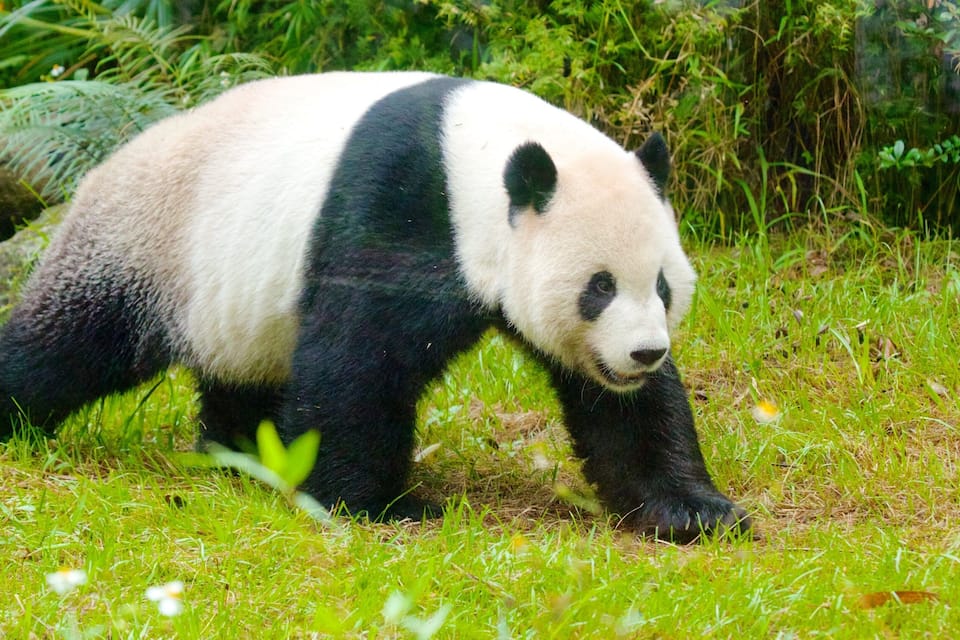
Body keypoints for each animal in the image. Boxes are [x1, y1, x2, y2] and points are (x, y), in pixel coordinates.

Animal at [0, 71, 749, 542]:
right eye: (598, 286)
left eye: (662, 287)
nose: (643, 352)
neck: (475, 159)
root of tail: (101, 167)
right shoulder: (399, 203)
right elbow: (357, 361)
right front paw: (376, 506)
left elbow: (626, 413)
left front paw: (693, 512)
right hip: (144, 245)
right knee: (66, 343)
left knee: (243, 375)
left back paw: (241, 453)